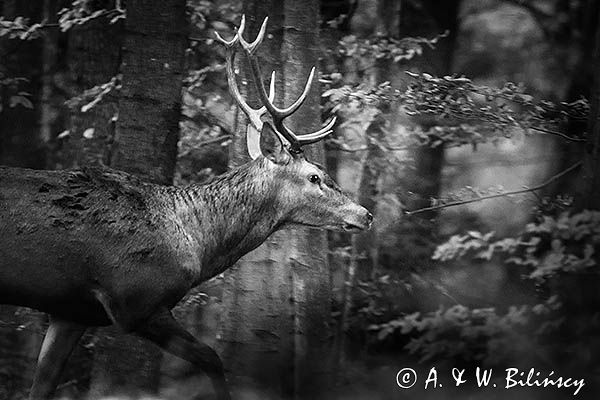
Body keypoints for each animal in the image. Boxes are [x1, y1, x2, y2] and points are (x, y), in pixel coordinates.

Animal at [0, 14, 372, 400]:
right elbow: (212, 358)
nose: (365, 214)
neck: (196, 242)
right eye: (315, 176)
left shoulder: (71, 312)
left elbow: (41, 386)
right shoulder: (135, 301)